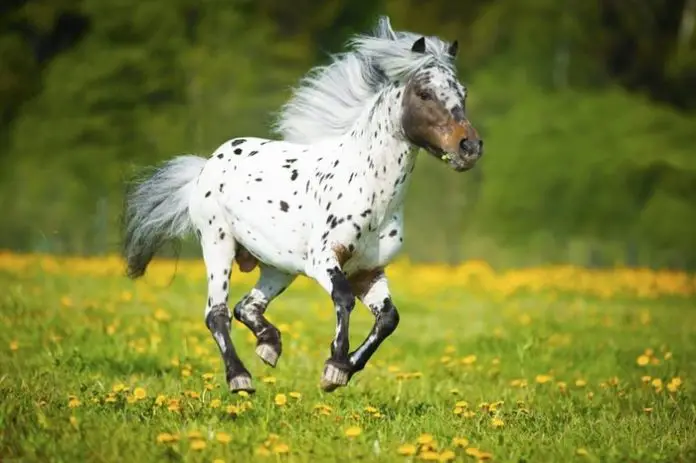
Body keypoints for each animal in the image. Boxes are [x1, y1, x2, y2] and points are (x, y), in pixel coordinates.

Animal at [121, 15, 483, 394]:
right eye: (425, 93)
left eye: (463, 93)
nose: (469, 147)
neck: (371, 194)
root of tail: (208, 164)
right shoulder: (323, 260)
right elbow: (343, 298)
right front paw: (334, 366)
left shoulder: (369, 271)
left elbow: (388, 318)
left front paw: (344, 369)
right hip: (218, 243)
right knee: (217, 313)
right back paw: (240, 377)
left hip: (278, 266)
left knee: (246, 306)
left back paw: (269, 345)